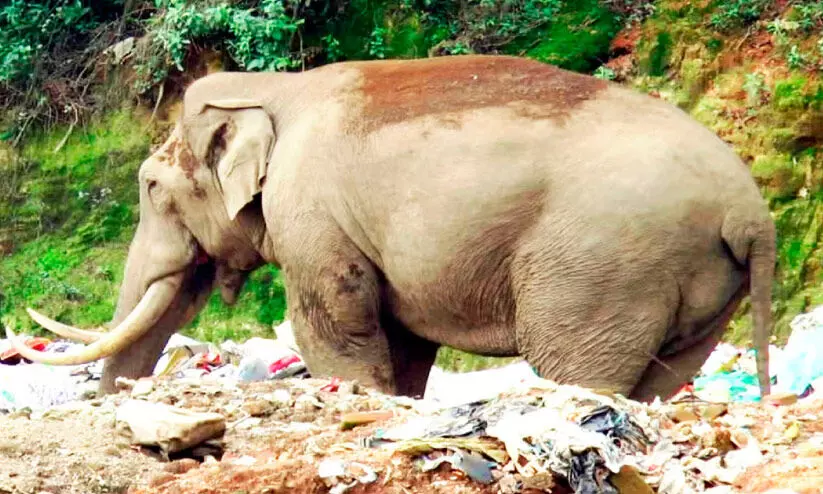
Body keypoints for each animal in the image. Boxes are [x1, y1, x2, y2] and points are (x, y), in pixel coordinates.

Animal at [8, 54, 780, 402]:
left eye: (149, 186)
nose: (115, 400)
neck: (274, 84)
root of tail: (750, 211)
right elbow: (401, 336)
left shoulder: (311, 210)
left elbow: (336, 321)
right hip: (694, 283)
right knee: (663, 377)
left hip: (602, 267)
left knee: (575, 367)